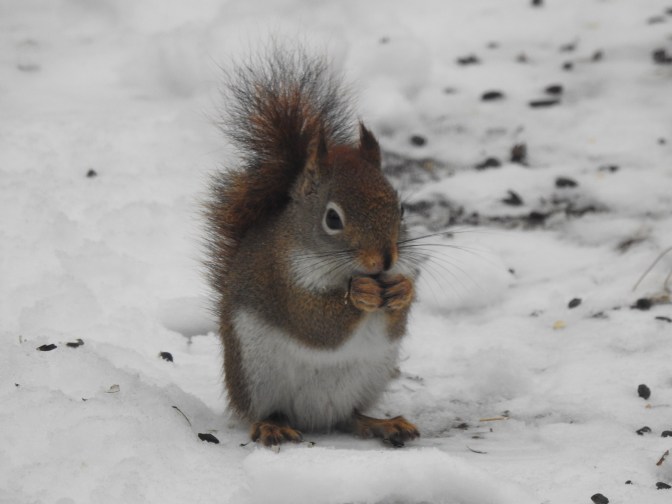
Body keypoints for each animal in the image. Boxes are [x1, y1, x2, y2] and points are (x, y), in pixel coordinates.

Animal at [205, 45, 419, 447]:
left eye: (401, 209)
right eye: (332, 219)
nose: (385, 260)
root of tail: (316, 416)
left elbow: (396, 323)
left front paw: (403, 290)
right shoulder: (283, 281)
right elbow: (315, 324)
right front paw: (360, 294)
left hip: (370, 376)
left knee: (350, 416)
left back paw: (380, 423)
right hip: (257, 375)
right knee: (263, 411)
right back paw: (271, 425)